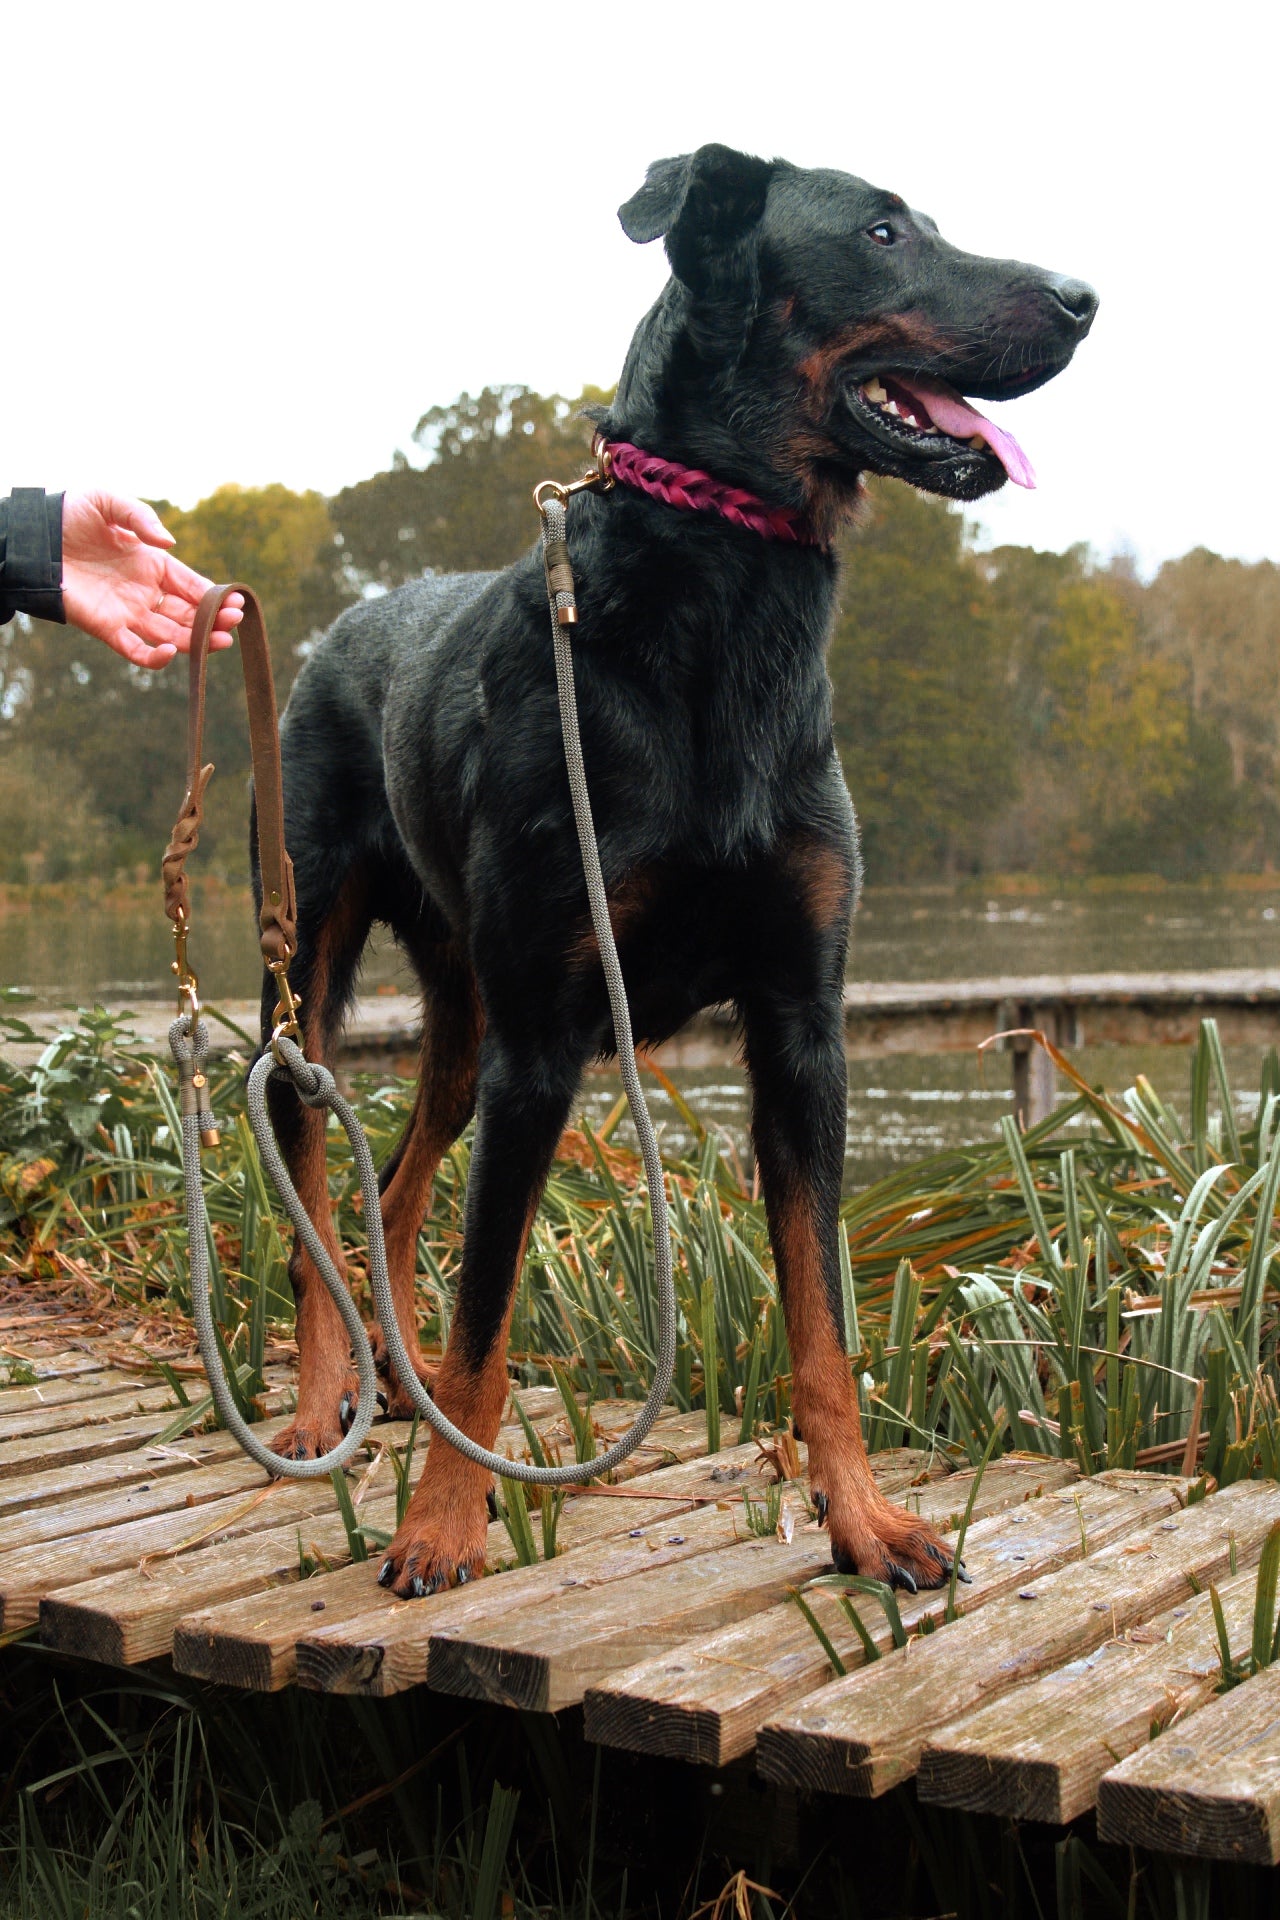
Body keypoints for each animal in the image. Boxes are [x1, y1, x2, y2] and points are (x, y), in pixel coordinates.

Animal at [257, 142, 1090, 1597]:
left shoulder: (800, 1025)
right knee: (314, 1170)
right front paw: (440, 1530)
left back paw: (394, 1386)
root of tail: (338, 630)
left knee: (403, 1189)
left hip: (464, 1020)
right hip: (314, 969)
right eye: (879, 231)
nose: (1084, 299)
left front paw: (863, 1522)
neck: (722, 597)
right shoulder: (548, 1040)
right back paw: (322, 1404)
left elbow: (821, 1321)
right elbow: (489, 1315)